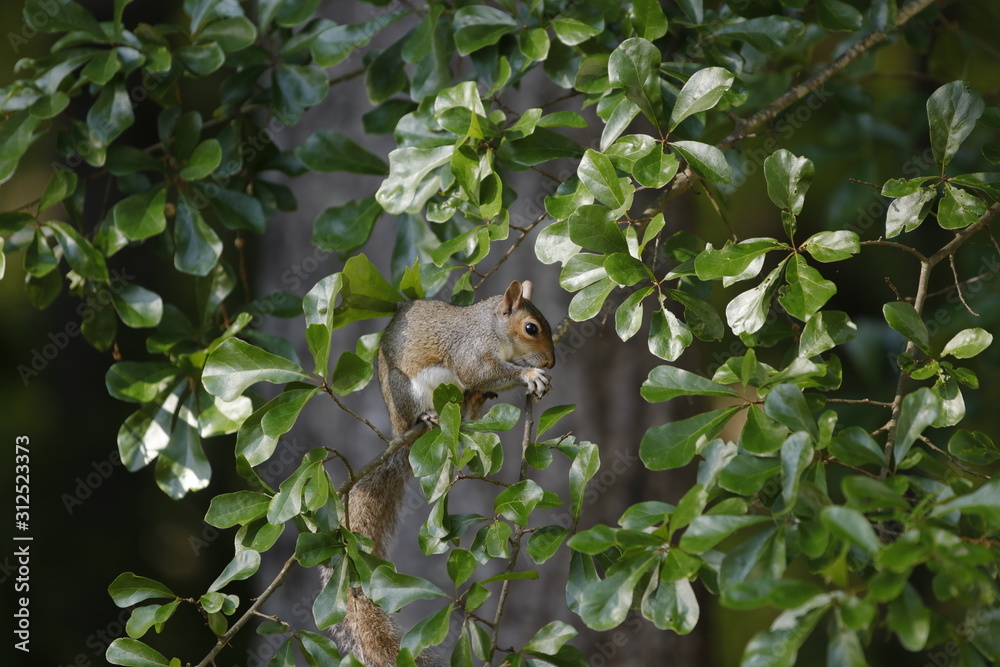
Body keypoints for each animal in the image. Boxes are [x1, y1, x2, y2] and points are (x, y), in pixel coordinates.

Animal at [327, 280, 556, 667]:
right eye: (531, 328)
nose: (552, 361)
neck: (492, 328)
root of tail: (399, 431)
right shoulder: (470, 351)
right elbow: (478, 371)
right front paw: (529, 374)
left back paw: (476, 402)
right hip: (410, 393)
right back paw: (429, 416)